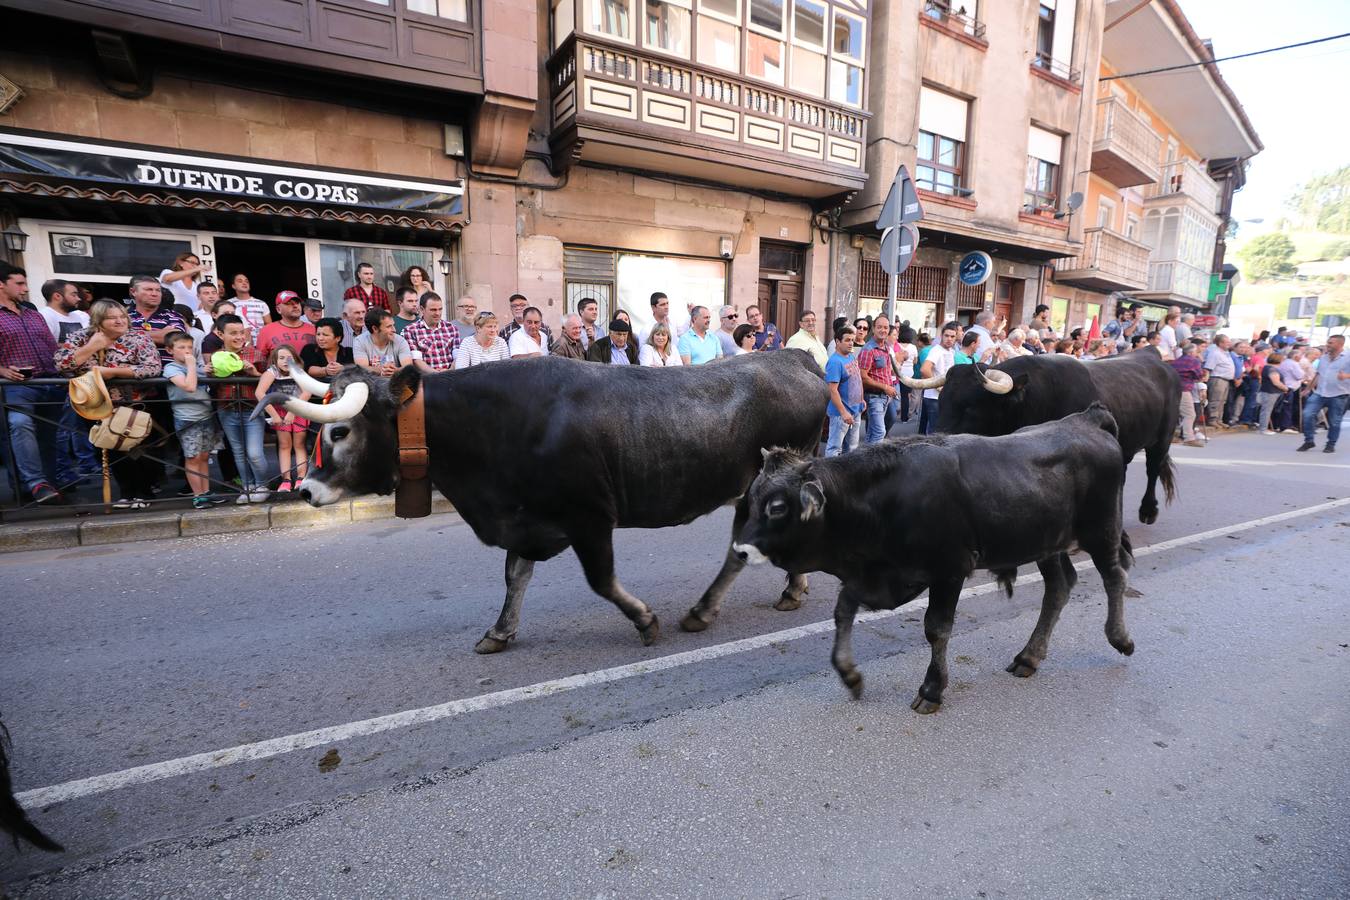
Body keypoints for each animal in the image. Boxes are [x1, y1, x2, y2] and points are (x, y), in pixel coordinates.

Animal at [268, 348, 826, 650]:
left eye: (339, 431)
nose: (305, 488)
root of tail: (794, 356)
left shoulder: (589, 516)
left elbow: (601, 581)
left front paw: (645, 620)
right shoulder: (525, 519)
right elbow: (515, 576)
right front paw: (499, 632)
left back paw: (706, 609)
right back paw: (788, 591)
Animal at [734, 404, 1134, 712]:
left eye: (777, 507)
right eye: (751, 497)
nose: (739, 548)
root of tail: (1084, 418)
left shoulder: (949, 569)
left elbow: (936, 628)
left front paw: (932, 689)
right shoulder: (883, 575)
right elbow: (843, 609)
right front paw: (849, 674)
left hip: (1102, 530)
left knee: (1115, 577)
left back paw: (1120, 638)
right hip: (1047, 544)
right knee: (1059, 588)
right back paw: (1028, 657)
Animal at [901, 348, 1177, 523]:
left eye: (970, 407)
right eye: (942, 401)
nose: (935, 438)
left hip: (1163, 438)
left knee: (1153, 468)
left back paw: (1148, 510)